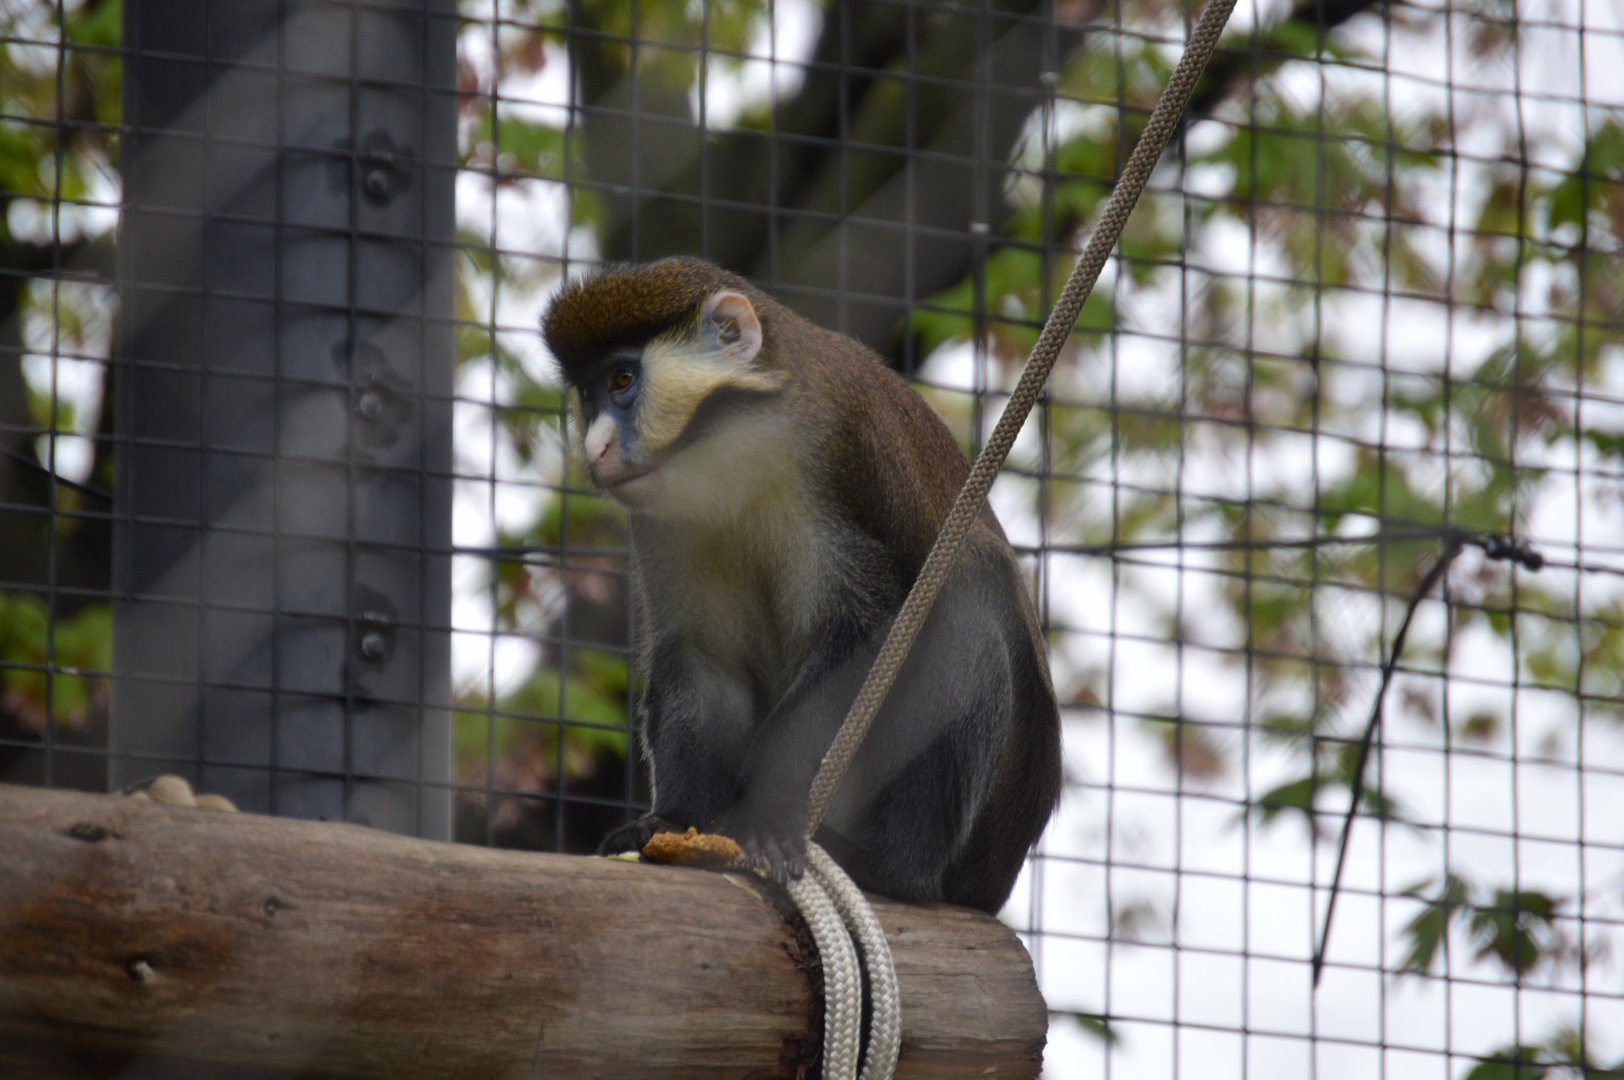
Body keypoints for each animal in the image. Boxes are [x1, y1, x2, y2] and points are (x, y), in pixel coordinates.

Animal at [542, 257, 1061, 914]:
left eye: (622, 380)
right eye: (587, 395)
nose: (597, 448)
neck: (731, 451)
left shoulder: (834, 444)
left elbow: (863, 630)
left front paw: (765, 814)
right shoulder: (660, 523)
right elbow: (704, 659)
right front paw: (672, 822)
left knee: (965, 617)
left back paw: (889, 871)